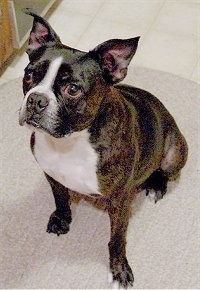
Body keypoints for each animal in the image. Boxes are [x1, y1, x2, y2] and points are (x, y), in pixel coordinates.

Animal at [18, 8, 188, 288]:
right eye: (29, 75)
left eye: (72, 89)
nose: (36, 99)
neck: (69, 141)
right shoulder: (51, 175)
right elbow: (61, 199)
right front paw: (62, 219)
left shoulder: (119, 201)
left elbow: (116, 240)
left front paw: (119, 270)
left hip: (175, 152)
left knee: (163, 168)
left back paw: (156, 185)